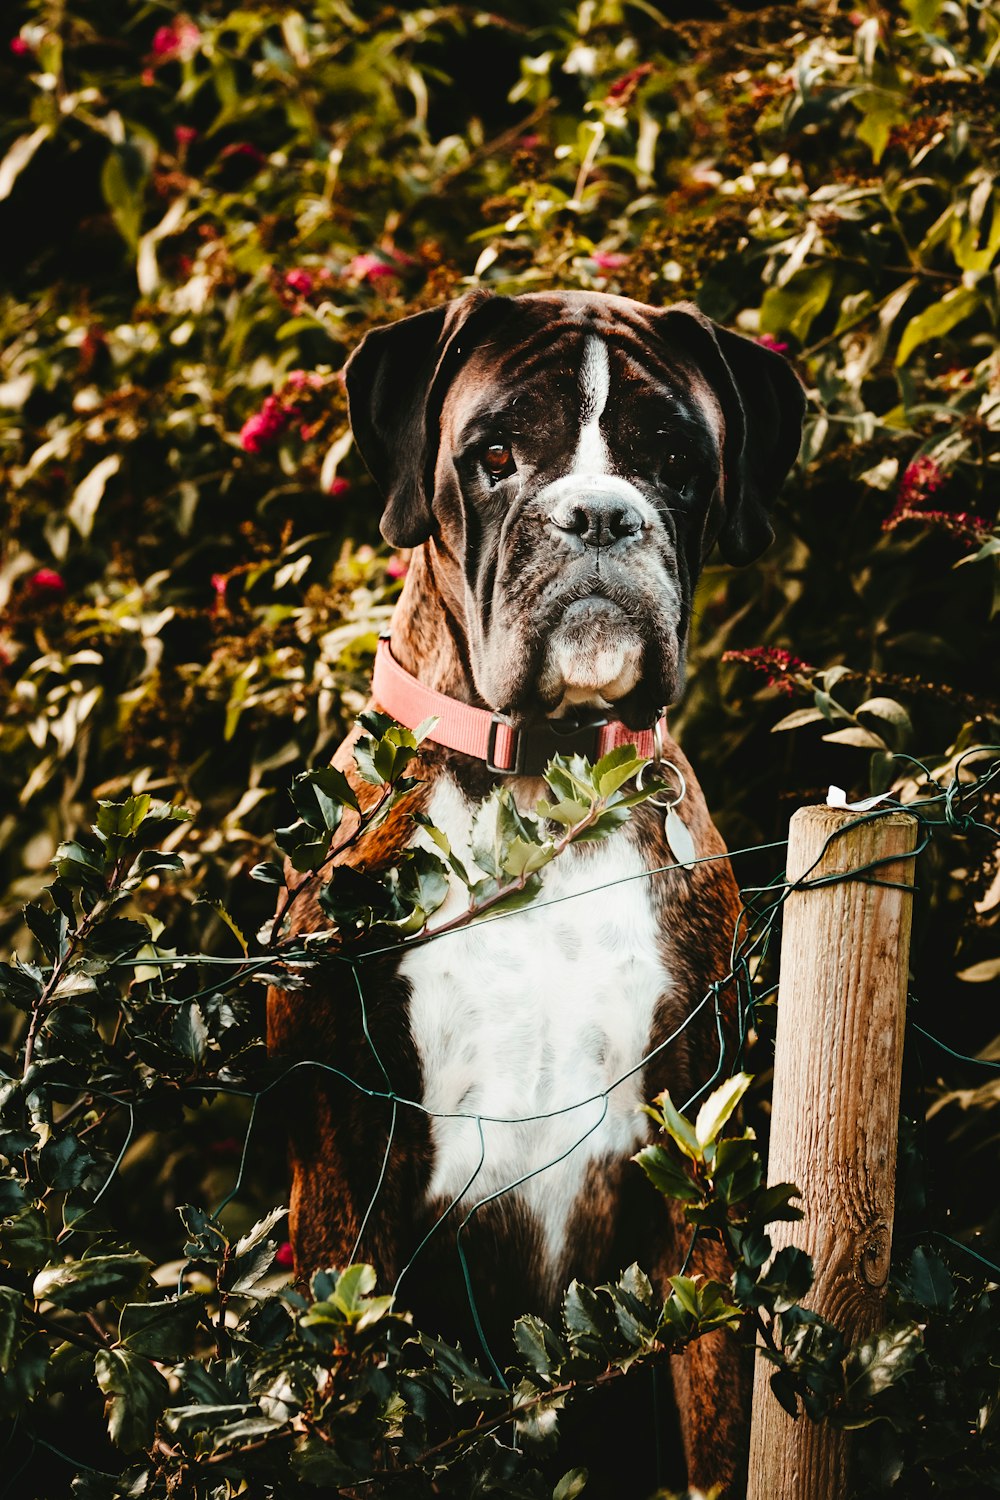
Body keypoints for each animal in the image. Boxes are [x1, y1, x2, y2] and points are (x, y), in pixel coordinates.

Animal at [268, 286, 803, 1494]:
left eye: (676, 463)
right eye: (496, 457)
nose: (599, 516)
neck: (544, 780)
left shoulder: (695, 1196)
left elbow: (718, 1429)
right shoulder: (348, 1200)